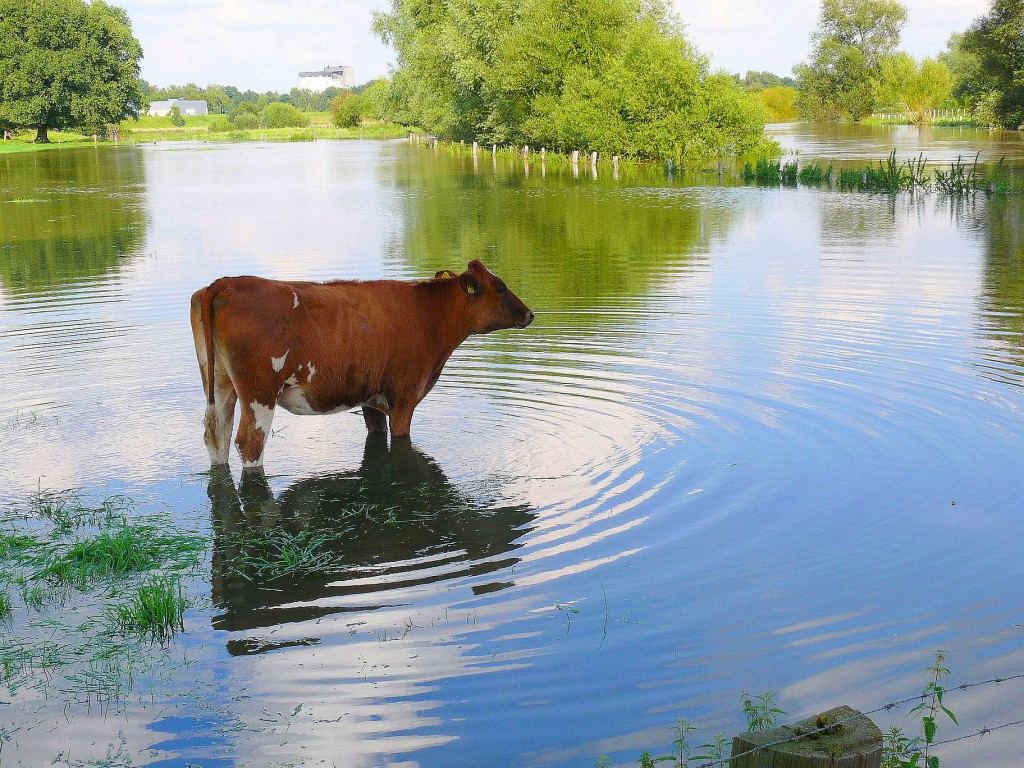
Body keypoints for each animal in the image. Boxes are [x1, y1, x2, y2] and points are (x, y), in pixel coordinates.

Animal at [188, 262, 536, 473]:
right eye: (501, 287)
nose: (531, 313)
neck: (428, 315)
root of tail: (228, 283)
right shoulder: (404, 397)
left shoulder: (372, 398)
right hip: (259, 393)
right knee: (250, 442)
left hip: (219, 383)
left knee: (216, 434)